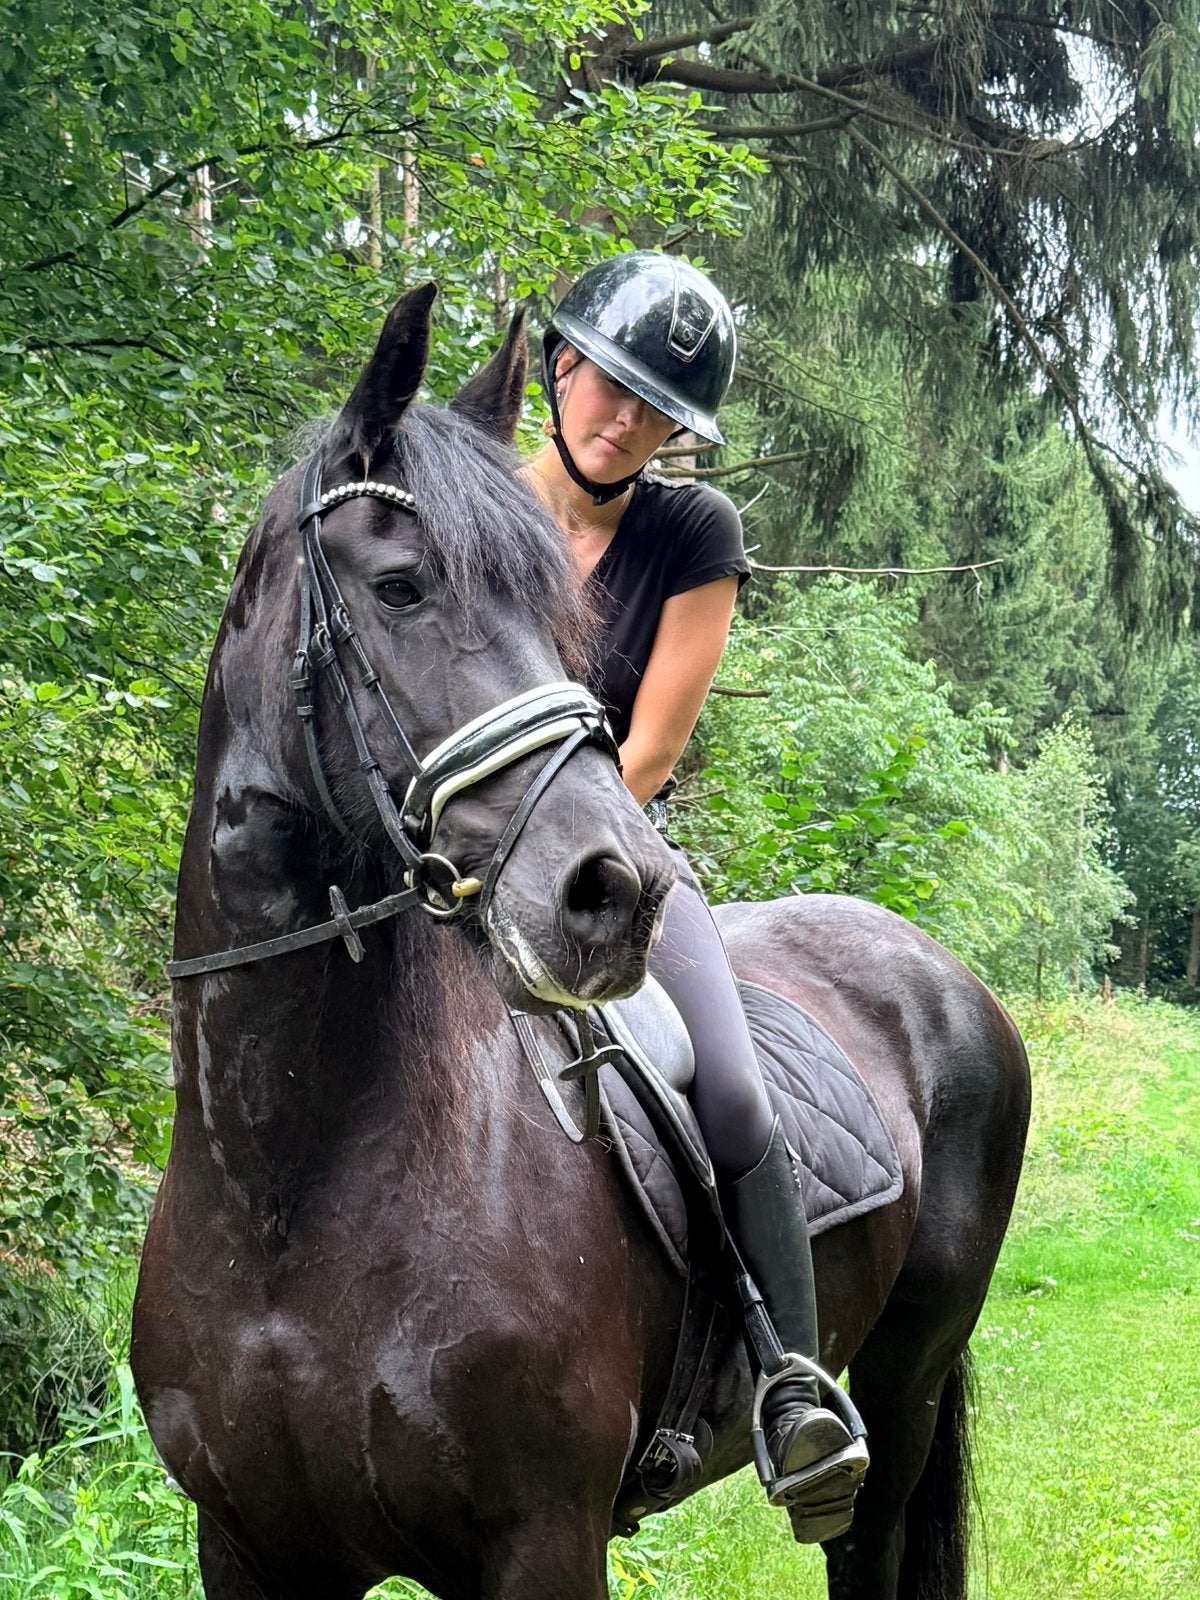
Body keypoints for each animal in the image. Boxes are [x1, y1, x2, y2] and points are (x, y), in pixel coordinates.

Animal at [131, 284, 1031, 1600]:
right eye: (400, 587)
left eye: (553, 615)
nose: (620, 891)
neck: (288, 1190)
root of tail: (941, 970)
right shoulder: (249, 1548)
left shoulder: (542, 1538)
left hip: (904, 1388)